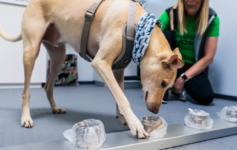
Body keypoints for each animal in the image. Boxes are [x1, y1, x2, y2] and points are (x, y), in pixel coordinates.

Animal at [0, 0, 183, 138]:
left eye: (168, 86)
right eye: (163, 83)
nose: (155, 110)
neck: (138, 28)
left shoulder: (118, 70)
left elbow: (119, 95)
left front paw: (124, 119)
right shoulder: (100, 63)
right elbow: (123, 99)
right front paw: (136, 124)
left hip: (58, 56)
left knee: (48, 86)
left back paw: (55, 107)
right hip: (31, 52)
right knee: (25, 92)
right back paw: (26, 117)